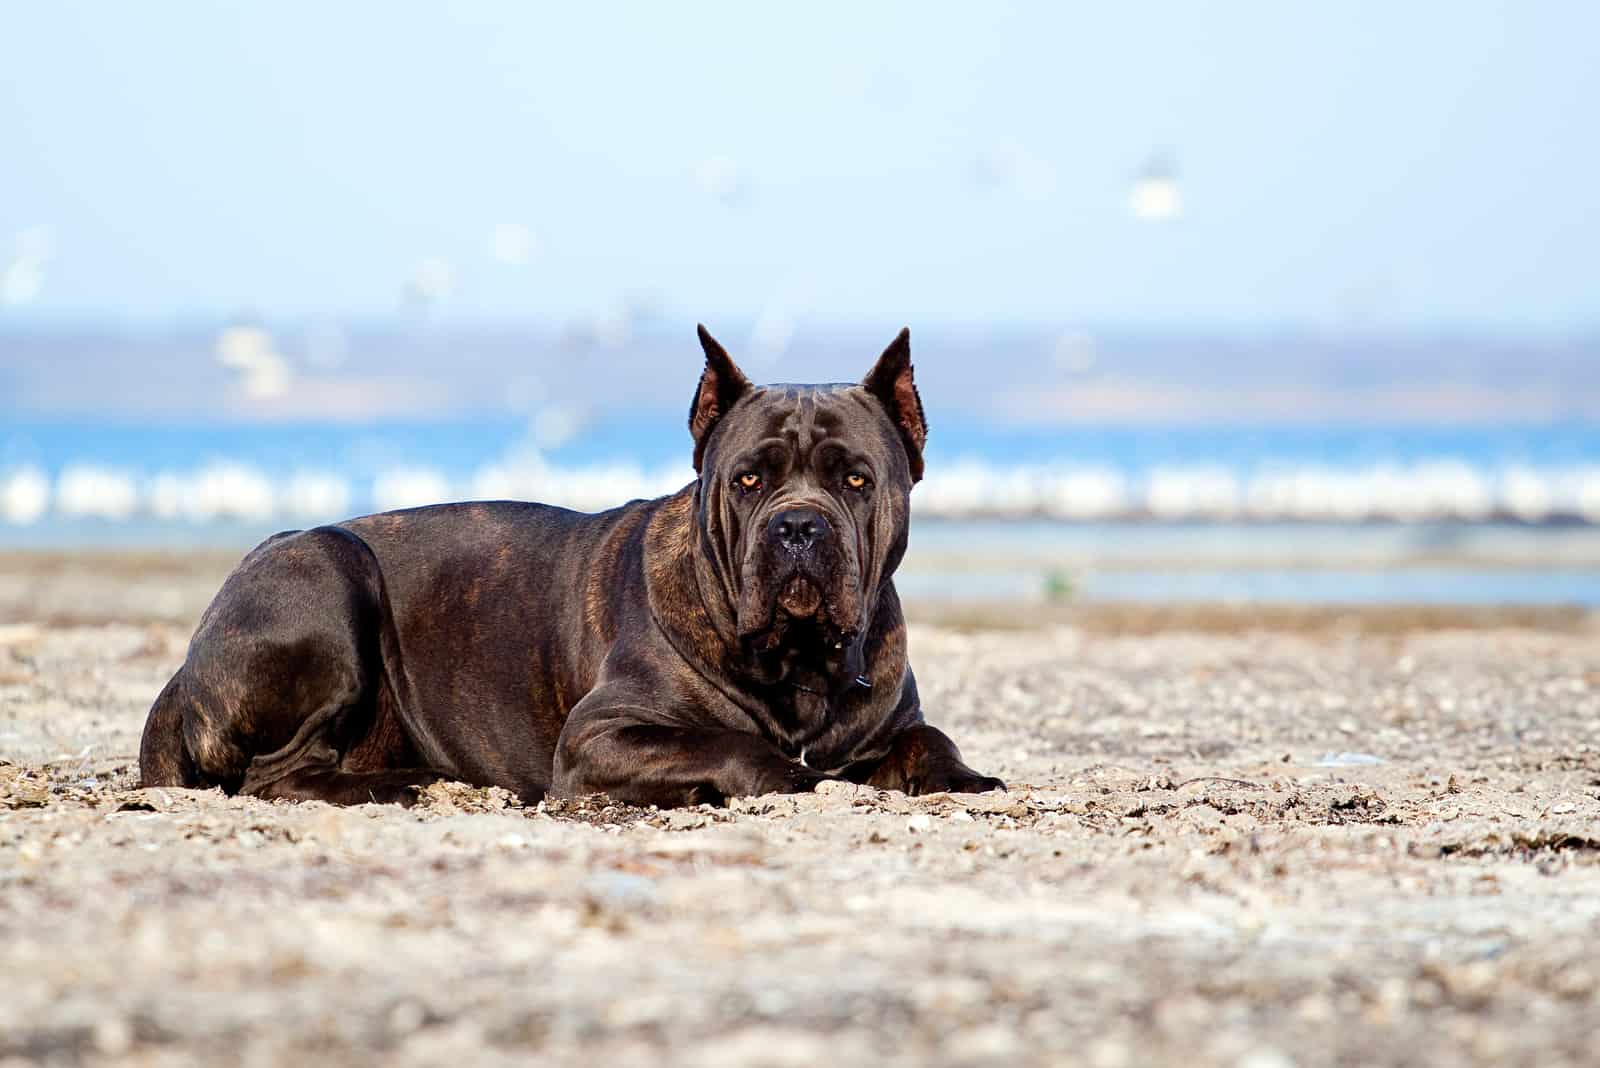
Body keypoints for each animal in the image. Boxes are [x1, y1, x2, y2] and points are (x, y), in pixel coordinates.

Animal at [144, 327, 1004, 808]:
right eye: (748, 481)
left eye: (856, 481)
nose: (797, 526)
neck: (798, 667)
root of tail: (185, 669)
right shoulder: (600, 737)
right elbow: (729, 745)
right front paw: (782, 774)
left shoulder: (891, 716)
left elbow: (931, 738)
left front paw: (966, 778)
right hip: (327, 568)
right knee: (275, 775)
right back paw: (391, 787)